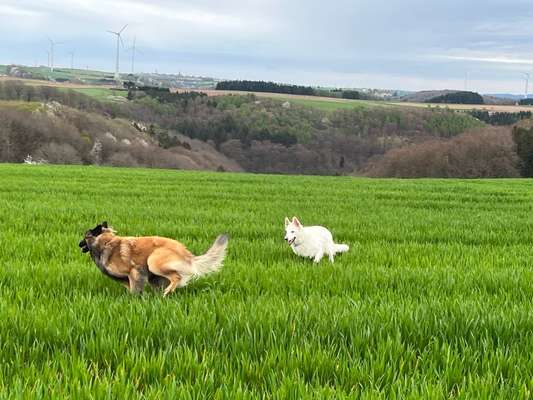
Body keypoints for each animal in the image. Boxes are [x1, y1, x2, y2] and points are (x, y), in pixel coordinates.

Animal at [79, 223, 227, 296]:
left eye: (85, 236)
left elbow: (135, 288)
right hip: (155, 275)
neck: (105, 243)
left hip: (153, 262)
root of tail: (186, 253)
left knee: (176, 277)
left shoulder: (135, 271)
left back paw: (168, 291)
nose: (78, 244)